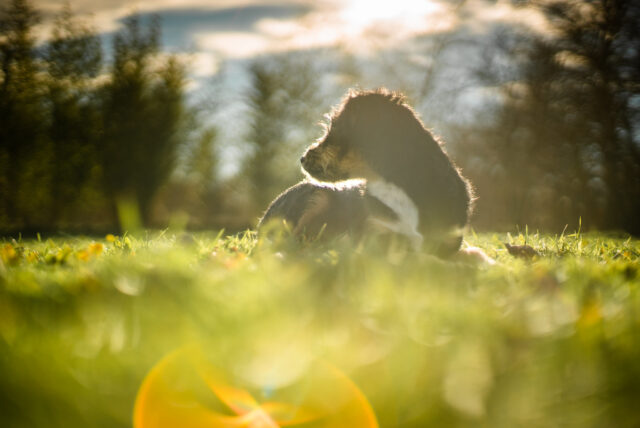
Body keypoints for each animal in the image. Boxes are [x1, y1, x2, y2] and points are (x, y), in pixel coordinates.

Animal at [258, 88, 472, 258]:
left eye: (334, 130)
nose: (302, 158)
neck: (394, 182)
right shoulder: (375, 237)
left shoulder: (449, 241)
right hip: (317, 198)